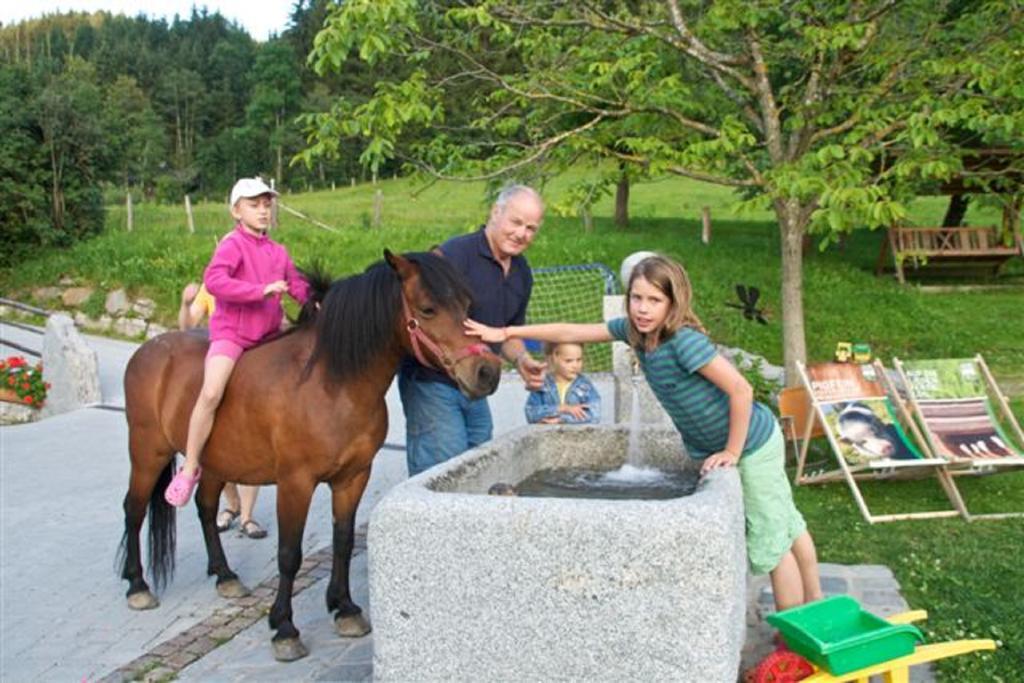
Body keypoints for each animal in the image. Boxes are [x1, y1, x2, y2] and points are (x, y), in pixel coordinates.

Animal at [117, 250, 501, 663]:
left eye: (466, 305)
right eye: (428, 309)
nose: (487, 372)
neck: (332, 383)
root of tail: (147, 350)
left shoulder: (353, 477)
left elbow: (344, 541)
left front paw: (345, 608)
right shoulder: (295, 483)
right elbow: (289, 554)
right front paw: (284, 628)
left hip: (215, 462)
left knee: (205, 509)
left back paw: (225, 576)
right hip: (147, 453)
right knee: (134, 510)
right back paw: (137, 586)